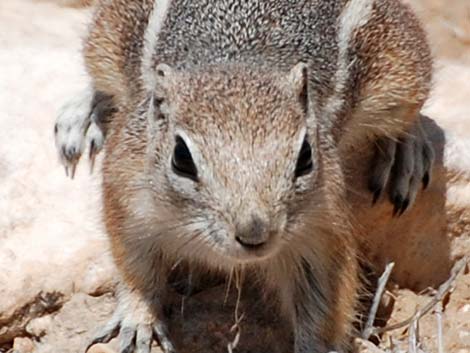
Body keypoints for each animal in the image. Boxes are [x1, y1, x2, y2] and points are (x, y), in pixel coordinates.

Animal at [54, 0, 434, 352]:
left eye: (305, 157)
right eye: (181, 158)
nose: (254, 233)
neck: (240, 63)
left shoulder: (322, 225)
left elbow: (325, 300)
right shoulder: (128, 193)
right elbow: (134, 269)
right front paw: (139, 321)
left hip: (400, 69)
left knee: (408, 115)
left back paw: (406, 154)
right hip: (107, 33)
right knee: (100, 75)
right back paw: (81, 118)